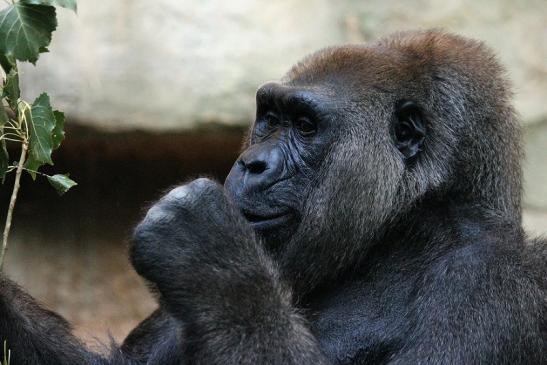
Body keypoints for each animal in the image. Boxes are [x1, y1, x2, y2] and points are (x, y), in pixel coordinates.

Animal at [1, 29, 547, 362]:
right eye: (270, 118)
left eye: (305, 126)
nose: (252, 164)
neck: (403, 232)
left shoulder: (488, 279)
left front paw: (213, 258)